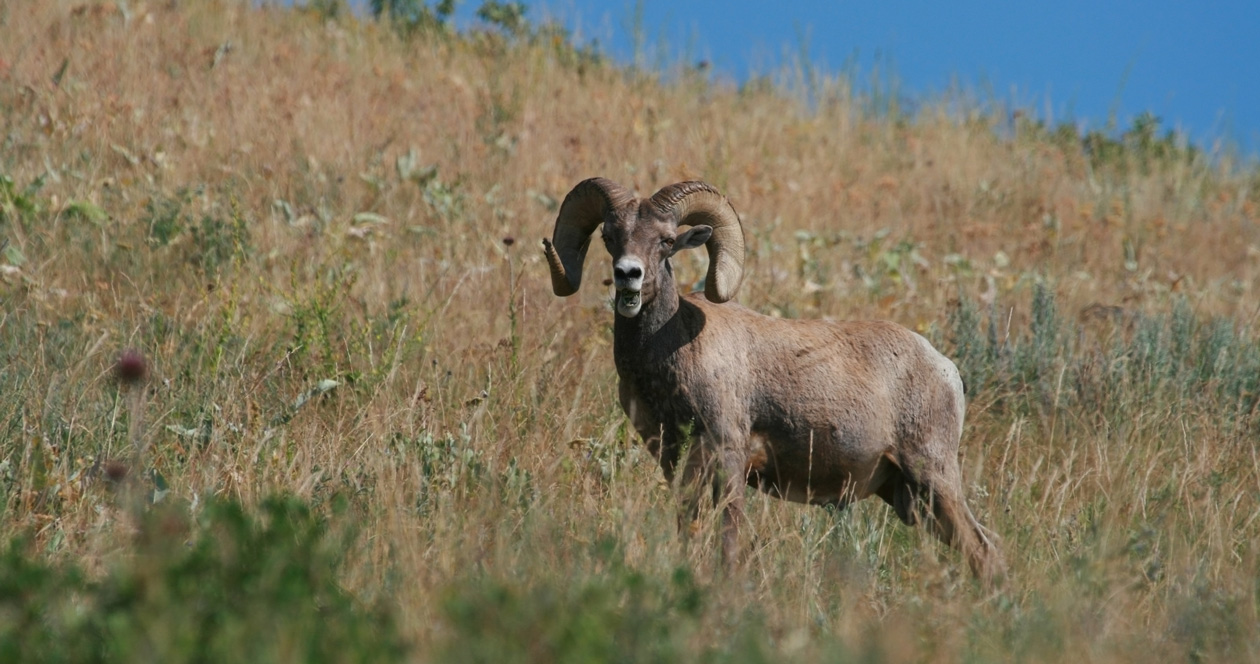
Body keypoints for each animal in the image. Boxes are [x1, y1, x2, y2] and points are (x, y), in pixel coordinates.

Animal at [541, 176, 1002, 582]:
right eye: (609, 237)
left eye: (667, 241)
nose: (628, 276)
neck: (671, 353)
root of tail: (946, 369)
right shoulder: (674, 461)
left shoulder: (728, 456)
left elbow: (729, 538)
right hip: (910, 498)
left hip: (933, 475)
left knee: (984, 552)